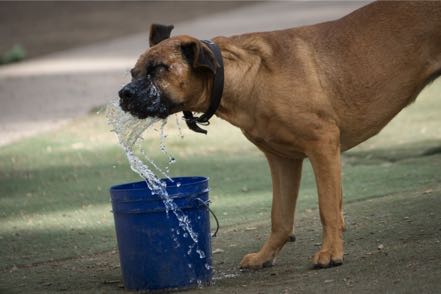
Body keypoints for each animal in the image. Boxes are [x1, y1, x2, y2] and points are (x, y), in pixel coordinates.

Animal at [117, 1, 440, 270]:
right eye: (133, 73)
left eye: (159, 69)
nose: (124, 93)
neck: (250, 75)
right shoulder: (282, 160)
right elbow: (280, 217)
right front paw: (266, 255)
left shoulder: (322, 145)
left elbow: (327, 207)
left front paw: (331, 252)